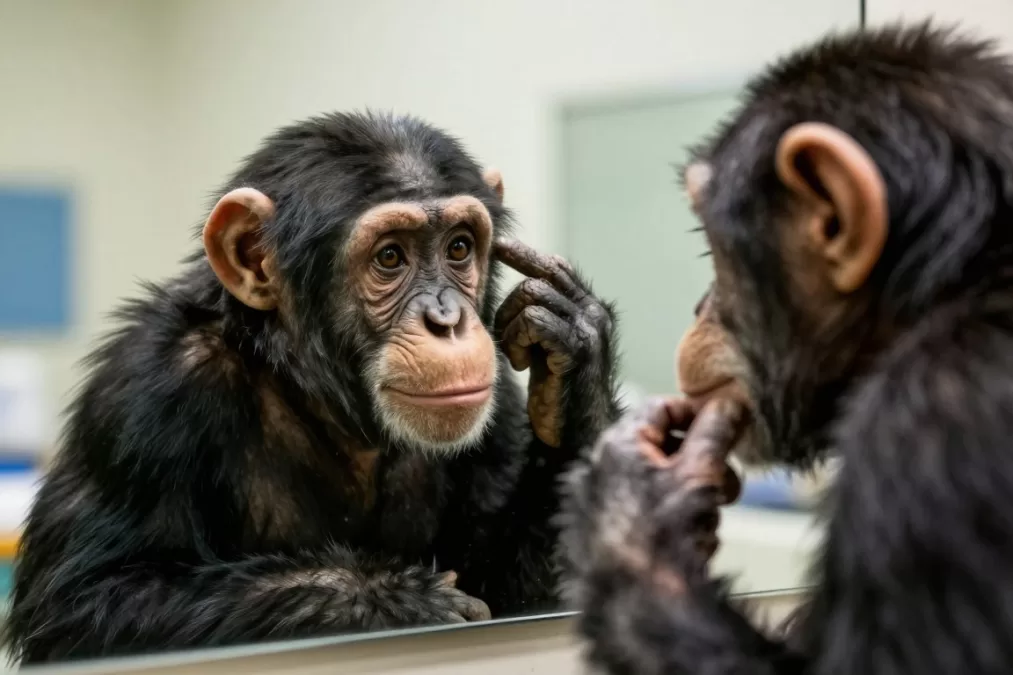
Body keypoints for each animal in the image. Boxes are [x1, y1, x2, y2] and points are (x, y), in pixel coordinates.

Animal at [2, 111, 620, 664]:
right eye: (390, 256)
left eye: (459, 248)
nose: (446, 319)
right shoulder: (143, 392)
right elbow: (91, 599)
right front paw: (399, 598)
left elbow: (523, 582)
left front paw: (575, 366)